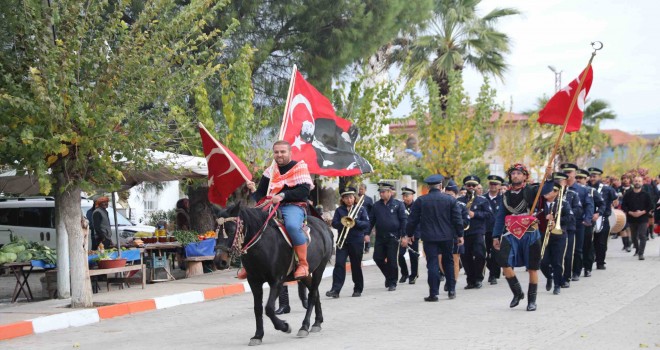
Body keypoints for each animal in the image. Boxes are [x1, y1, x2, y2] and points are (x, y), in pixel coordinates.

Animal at [214, 204, 332, 346]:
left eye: (231, 230)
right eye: (215, 231)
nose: (219, 262)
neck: (262, 246)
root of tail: (324, 225)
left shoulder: (277, 281)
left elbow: (269, 308)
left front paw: (284, 326)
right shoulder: (254, 282)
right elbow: (258, 308)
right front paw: (258, 335)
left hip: (320, 268)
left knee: (313, 294)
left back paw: (304, 326)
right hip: (304, 274)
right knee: (315, 293)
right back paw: (317, 322)